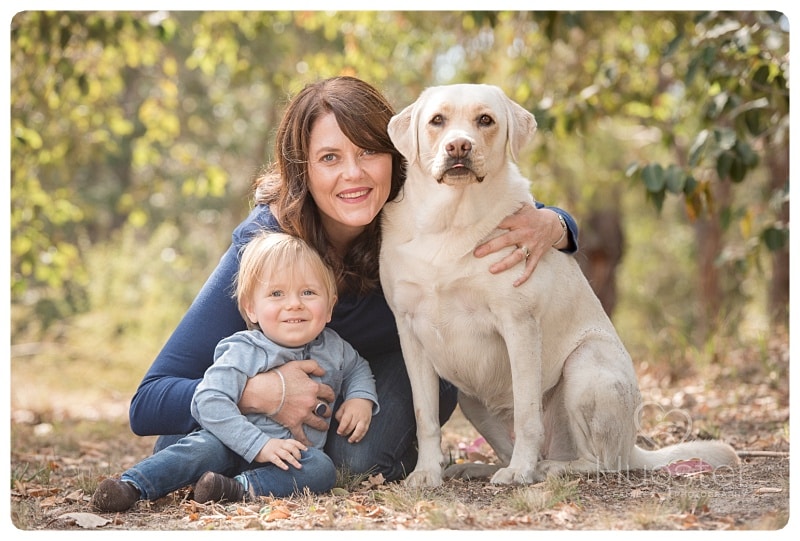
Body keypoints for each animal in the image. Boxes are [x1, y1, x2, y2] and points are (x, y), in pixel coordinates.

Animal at [378, 83, 740, 486]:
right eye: (436, 121)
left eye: (485, 120)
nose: (459, 146)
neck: (449, 220)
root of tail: (632, 445)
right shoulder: (410, 331)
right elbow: (424, 416)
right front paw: (426, 473)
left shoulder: (519, 324)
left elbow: (527, 413)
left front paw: (519, 471)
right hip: (471, 398)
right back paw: (481, 467)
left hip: (586, 366)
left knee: (601, 461)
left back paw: (544, 468)